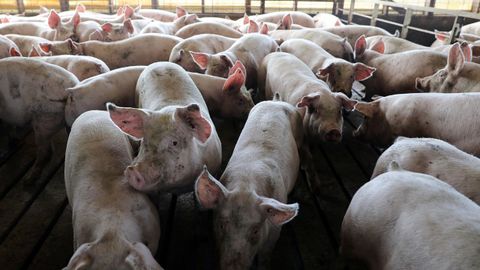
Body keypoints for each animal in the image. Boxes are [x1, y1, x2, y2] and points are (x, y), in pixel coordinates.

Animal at [193, 98, 302, 268]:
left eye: (256, 230)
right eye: (222, 225)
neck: (245, 184)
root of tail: (276, 101)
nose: (233, 267)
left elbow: (265, 258)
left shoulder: (273, 237)